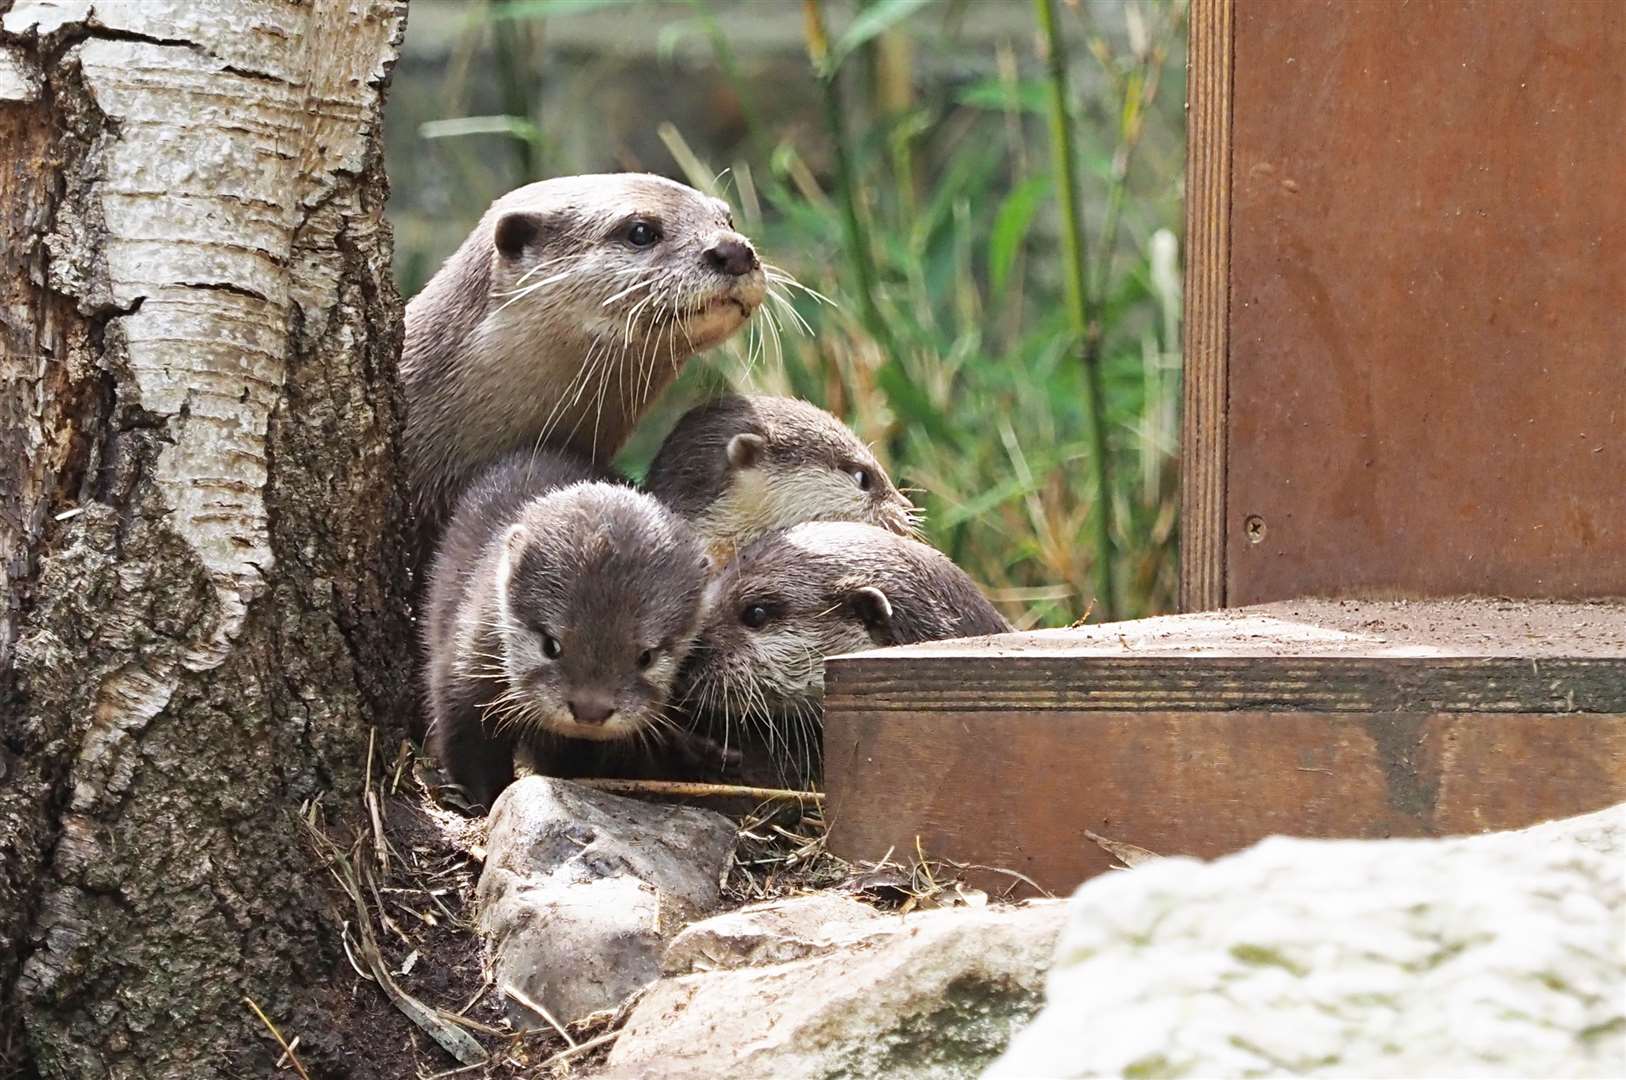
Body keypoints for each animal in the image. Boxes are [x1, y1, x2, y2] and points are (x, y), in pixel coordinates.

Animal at [426, 445, 712, 810]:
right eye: (551, 645)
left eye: (645, 656)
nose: (591, 710)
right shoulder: (463, 668)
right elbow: (468, 746)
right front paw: (481, 801)